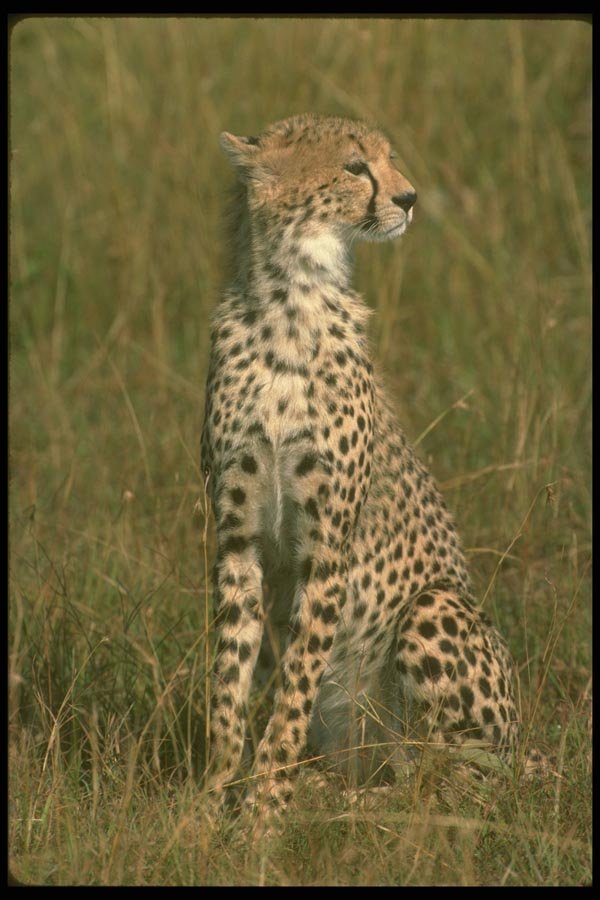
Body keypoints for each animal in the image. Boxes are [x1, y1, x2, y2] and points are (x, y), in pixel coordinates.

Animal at [200, 113, 525, 825]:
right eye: (354, 166)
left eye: (389, 159)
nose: (409, 198)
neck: (289, 302)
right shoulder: (235, 539)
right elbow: (228, 688)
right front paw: (205, 806)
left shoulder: (329, 549)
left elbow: (293, 693)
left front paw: (264, 813)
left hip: (435, 610)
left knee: (449, 778)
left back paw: (343, 803)